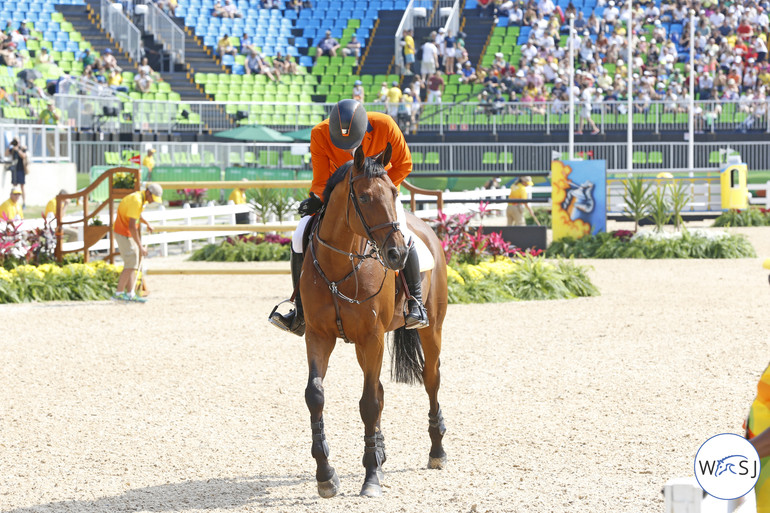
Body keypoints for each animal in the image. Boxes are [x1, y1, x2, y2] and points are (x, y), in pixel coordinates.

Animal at [298, 143, 444, 496]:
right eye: (363, 198)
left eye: (394, 193)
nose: (398, 255)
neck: (340, 268)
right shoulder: (318, 336)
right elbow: (316, 395)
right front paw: (326, 475)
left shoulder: (372, 337)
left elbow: (367, 404)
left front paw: (371, 478)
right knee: (379, 388)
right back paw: (380, 450)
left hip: (431, 328)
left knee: (431, 379)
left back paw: (437, 450)